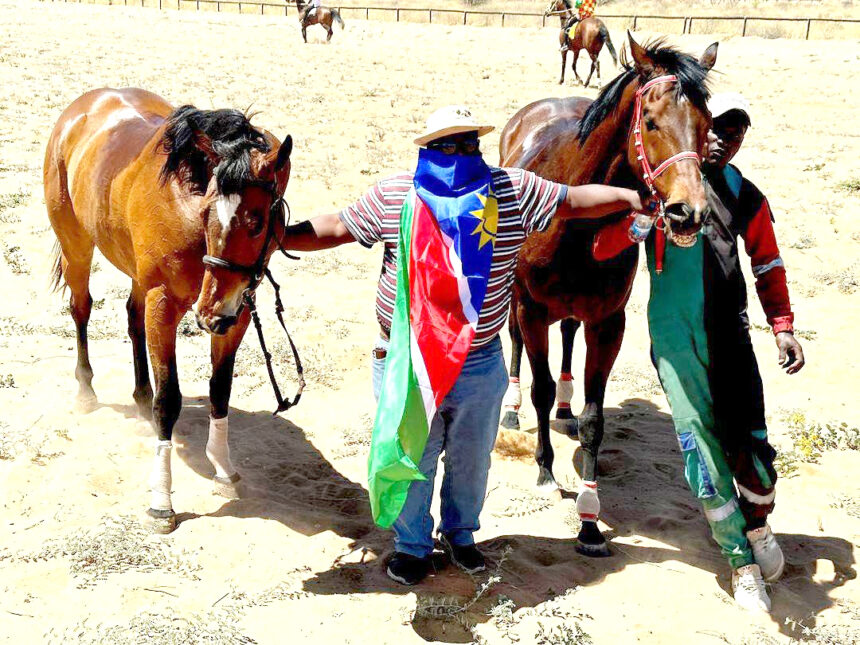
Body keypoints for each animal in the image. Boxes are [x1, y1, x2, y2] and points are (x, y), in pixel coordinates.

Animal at [43, 88, 293, 533]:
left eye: (258, 221)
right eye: (207, 210)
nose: (210, 314)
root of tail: (84, 105)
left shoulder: (238, 313)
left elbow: (220, 391)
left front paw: (224, 470)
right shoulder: (165, 304)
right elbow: (169, 401)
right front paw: (161, 501)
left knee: (131, 318)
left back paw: (140, 395)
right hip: (76, 245)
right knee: (81, 309)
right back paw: (86, 390)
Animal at [498, 35, 718, 556]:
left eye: (707, 126)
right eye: (651, 121)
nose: (689, 212)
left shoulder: (608, 321)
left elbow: (595, 420)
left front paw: (590, 521)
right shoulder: (531, 308)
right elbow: (537, 386)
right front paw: (544, 471)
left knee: (568, 336)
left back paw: (565, 406)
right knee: (516, 345)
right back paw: (514, 411)